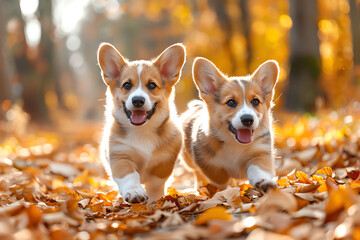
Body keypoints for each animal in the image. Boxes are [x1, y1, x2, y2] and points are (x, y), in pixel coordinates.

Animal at [97, 42, 186, 202]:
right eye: (127, 85)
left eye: (151, 85)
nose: (138, 100)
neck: (142, 131)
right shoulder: (120, 156)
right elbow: (130, 175)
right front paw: (134, 192)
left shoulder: (165, 162)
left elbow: (156, 183)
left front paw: (154, 199)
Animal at [181, 57, 280, 192]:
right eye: (231, 102)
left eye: (255, 101)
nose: (248, 119)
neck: (235, 143)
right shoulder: (206, 163)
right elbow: (222, 178)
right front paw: (230, 187)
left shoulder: (261, 152)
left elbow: (257, 169)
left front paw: (264, 182)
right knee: (197, 174)